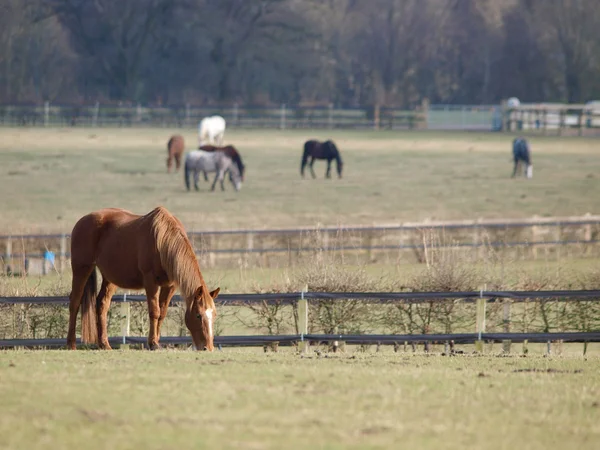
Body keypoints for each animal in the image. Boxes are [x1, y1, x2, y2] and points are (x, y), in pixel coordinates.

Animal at [67, 207, 220, 352]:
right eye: (198, 315)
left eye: (214, 315)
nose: (208, 347)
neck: (162, 240)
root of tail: (83, 220)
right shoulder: (151, 282)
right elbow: (154, 311)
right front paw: (153, 343)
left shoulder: (170, 286)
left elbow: (162, 313)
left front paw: (156, 341)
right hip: (81, 268)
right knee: (75, 302)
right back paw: (71, 344)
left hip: (110, 277)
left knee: (102, 304)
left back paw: (104, 344)